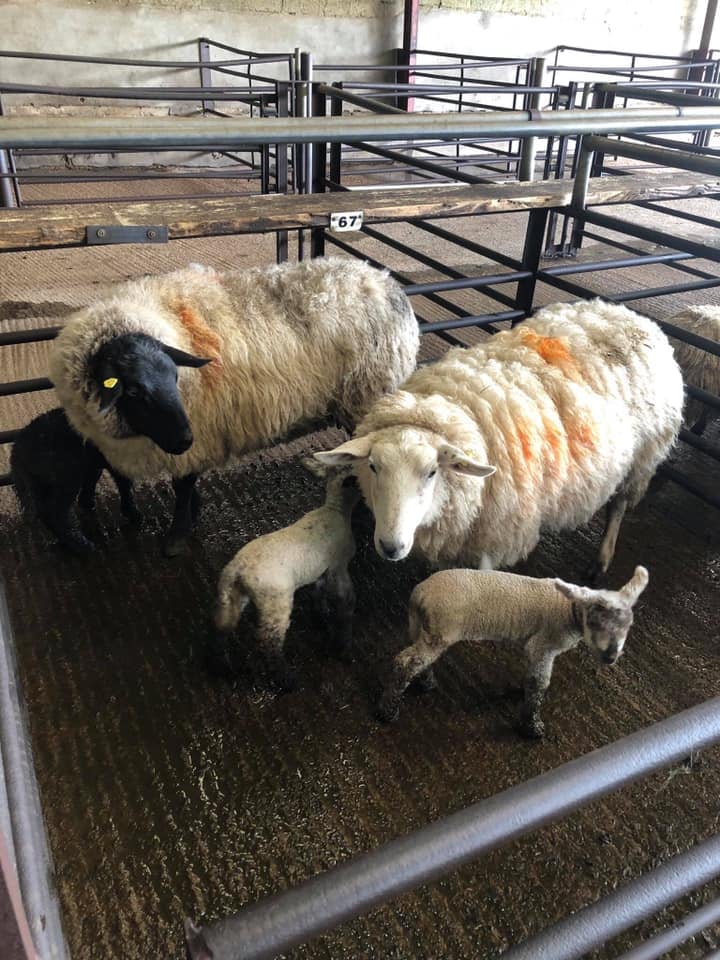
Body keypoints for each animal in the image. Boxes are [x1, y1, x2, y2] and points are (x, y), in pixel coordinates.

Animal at [10, 408, 137, 553]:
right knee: (56, 510)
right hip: (66, 476)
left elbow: (93, 478)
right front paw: (132, 513)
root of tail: (17, 453)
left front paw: (87, 503)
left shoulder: (93, 461)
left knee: (44, 511)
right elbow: (123, 482)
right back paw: (82, 544)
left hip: (35, 483)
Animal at [49, 257, 419, 555]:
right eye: (134, 391)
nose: (183, 439)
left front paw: (177, 536)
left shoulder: (200, 434)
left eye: (174, 376)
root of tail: (385, 280)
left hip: (370, 394)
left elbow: (182, 485)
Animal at [210, 462, 361, 690]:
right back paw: (286, 680)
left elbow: (318, 592)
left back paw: (224, 668)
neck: (336, 509)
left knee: (222, 628)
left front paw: (319, 616)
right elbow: (345, 603)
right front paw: (344, 647)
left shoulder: (322, 570)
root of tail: (238, 569)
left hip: (231, 596)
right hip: (276, 601)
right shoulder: (338, 567)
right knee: (268, 643)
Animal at [315, 299, 684, 581]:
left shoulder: (497, 534)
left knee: (618, 507)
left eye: (432, 472)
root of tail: (633, 316)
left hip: (643, 458)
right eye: (373, 467)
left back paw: (601, 560)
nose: (391, 547)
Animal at [377, 565, 649, 738]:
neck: (566, 610)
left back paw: (426, 682)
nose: (610, 657)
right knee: (404, 662)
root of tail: (420, 594)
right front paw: (532, 728)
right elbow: (540, 682)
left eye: (628, 626)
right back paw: (387, 712)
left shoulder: (534, 647)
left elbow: (532, 677)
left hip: (422, 627)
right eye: (593, 621)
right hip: (442, 628)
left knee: (416, 659)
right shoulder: (544, 645)